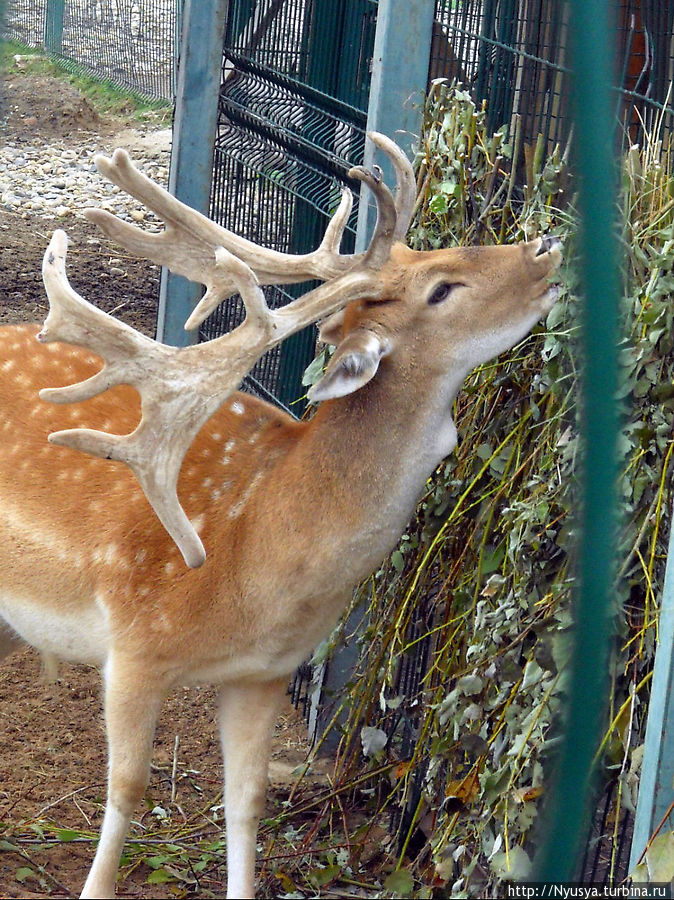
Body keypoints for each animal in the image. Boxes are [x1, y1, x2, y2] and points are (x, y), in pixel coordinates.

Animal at [0, 130, 560, 896]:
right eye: (442, 288)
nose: (546, 246)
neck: (256, 559)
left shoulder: (264, 672)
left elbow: (247, 804)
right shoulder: (135, 642)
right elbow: (126, 793)